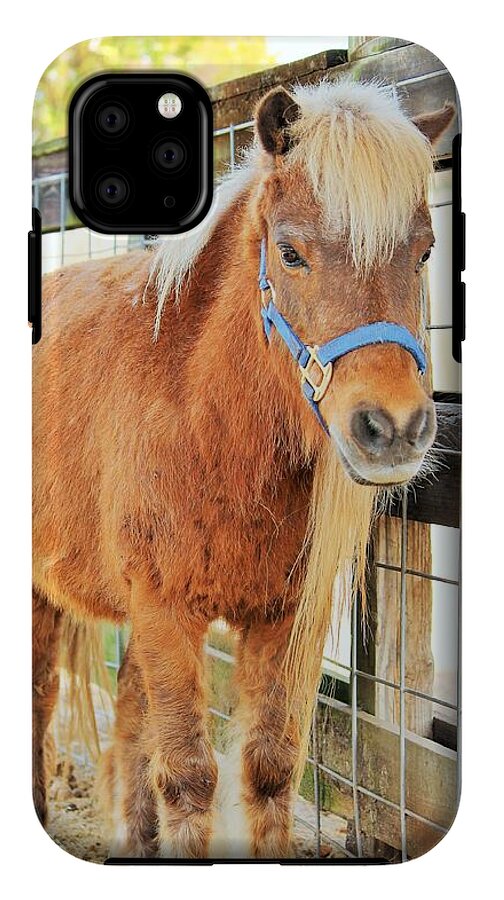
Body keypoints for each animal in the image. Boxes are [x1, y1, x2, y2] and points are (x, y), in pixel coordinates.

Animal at [32, 79, 454, 859]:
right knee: (45, 696)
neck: (203, 417)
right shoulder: (165, 610)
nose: (392, 430)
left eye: (423, 253)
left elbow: (268, 769)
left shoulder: (282, 619)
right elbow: (189, 778)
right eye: (289, 253)